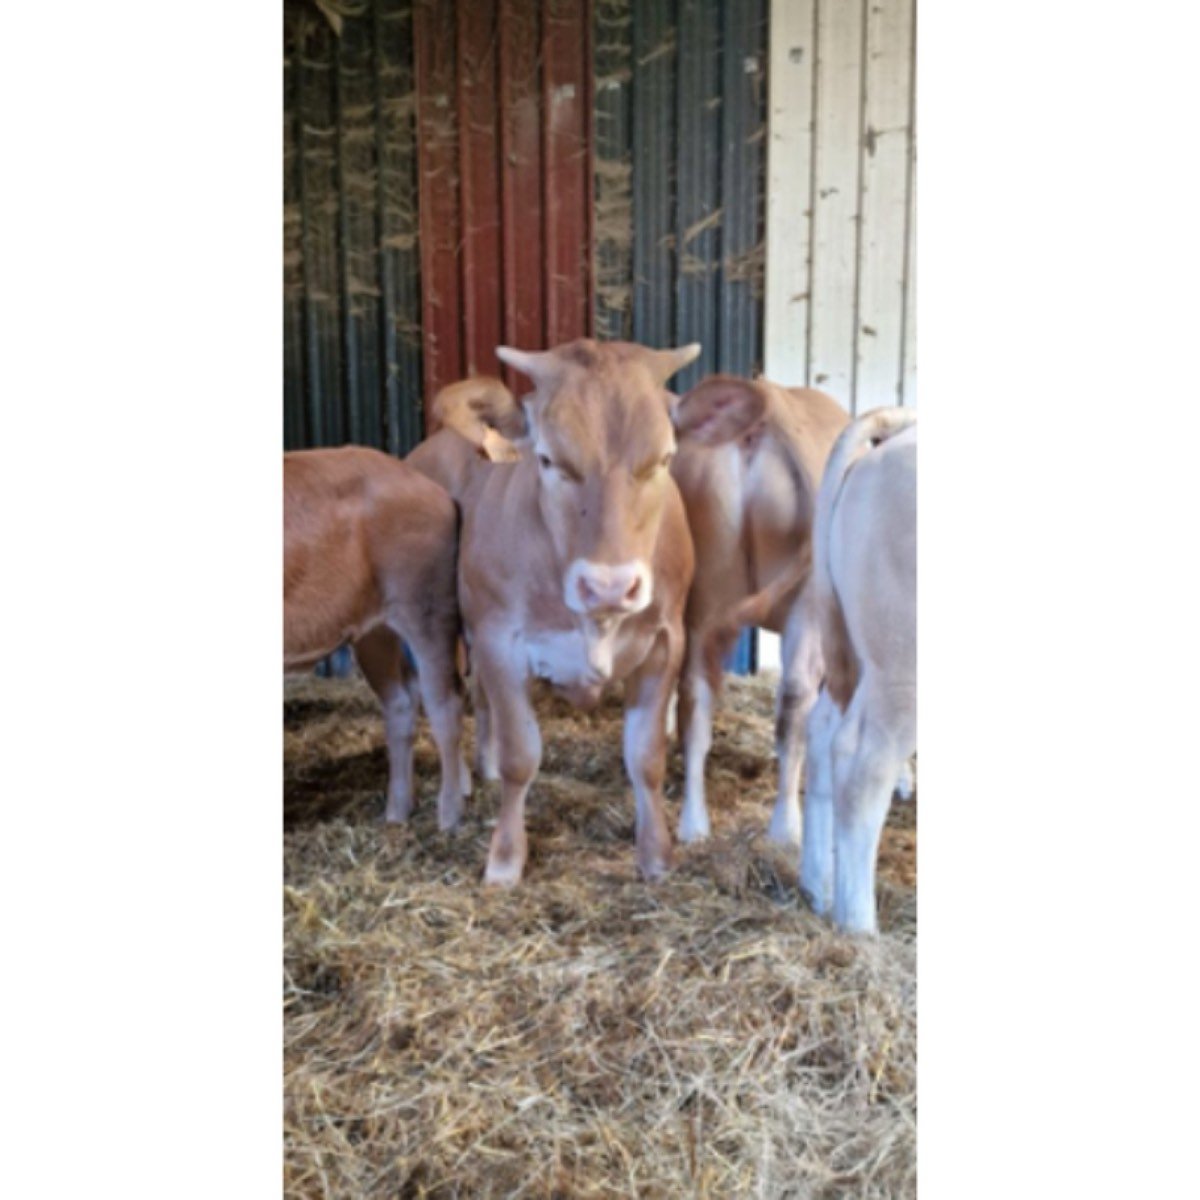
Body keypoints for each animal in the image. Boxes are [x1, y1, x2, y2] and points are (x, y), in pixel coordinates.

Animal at [284, 447, 469, 830]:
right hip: (374, 631)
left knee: (445, 701)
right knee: (400, 703)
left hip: (428, 607)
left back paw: (449, 817)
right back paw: (397, 813)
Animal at [407, 339, 769, 886]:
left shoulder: (666, 641)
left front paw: (656, 856)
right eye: (548, 459)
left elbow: (646, 757)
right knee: (466, 701)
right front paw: (505, 860)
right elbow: (520, 756)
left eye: (663, 459)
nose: (608, 587)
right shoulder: (500, 640)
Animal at [668, 376, 850, 846]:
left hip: (704, 589)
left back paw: (693, 823)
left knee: (695, 693)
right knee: (796, 697)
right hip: (807, 602)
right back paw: (786, 826)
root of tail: (770, 402)